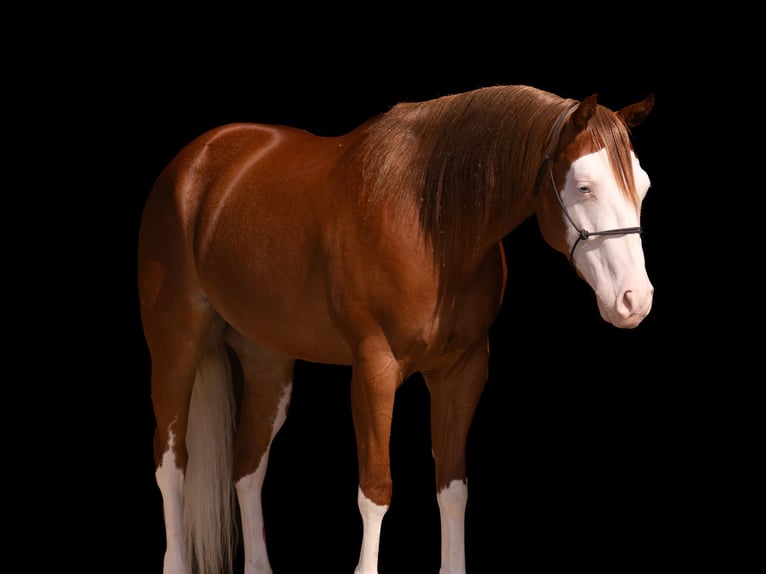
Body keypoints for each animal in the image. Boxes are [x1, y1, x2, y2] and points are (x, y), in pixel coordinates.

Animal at [138, 84, 655, 574]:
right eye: (584, 187)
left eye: (644, 187)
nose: (635, 300)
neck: (431, 224)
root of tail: (197, 159)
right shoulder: (374, 370)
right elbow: (375, 491)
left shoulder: (462, 372)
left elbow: (452, 490)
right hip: (175, 347)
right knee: (171, 464)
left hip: (267, 361)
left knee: (247, 466)